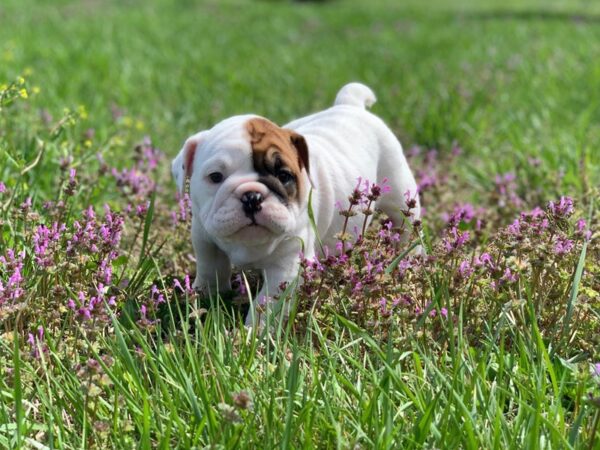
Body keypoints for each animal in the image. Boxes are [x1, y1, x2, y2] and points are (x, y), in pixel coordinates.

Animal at [171, 81, 420, 326]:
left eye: (283, 176)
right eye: (215, 177)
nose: (252, 196)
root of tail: (350, 105)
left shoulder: (287, 265)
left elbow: (266, 305)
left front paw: (254, 333)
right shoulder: (204, 238)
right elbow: (210, 268)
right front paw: (204, 297)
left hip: (399, 192)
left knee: (408, 227)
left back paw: (411, 260)